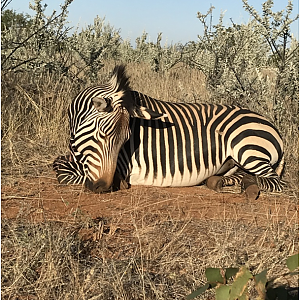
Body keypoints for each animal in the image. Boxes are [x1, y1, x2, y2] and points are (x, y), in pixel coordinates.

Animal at [52, 64, 284, 200]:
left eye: (125, 141)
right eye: (100, 135)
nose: (102, 187)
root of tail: (274, 128)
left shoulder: (118, 165)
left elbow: (63, 171)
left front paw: (120, 183)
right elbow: (59, 163)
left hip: (247, 148)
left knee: (274, 181)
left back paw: (250, 186)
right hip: (232, 163)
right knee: (239, 175)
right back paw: (219, 182)